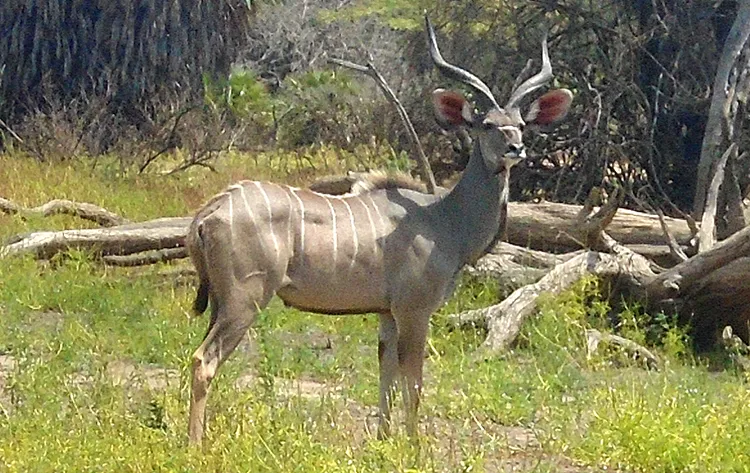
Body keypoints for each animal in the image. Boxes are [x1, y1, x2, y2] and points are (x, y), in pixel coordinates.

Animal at [186, 15, 573, 445]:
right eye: (486, 124)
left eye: (521, 124)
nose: (515, 149)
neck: (446, 219)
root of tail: (208, 211)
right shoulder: (414, 310)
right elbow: (414, 383)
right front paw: (415, 446)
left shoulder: (386, 313)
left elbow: (386, 374)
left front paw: (384, 440)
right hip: (245, 298)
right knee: (204, 360)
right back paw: (195, 446)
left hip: (222, 303)